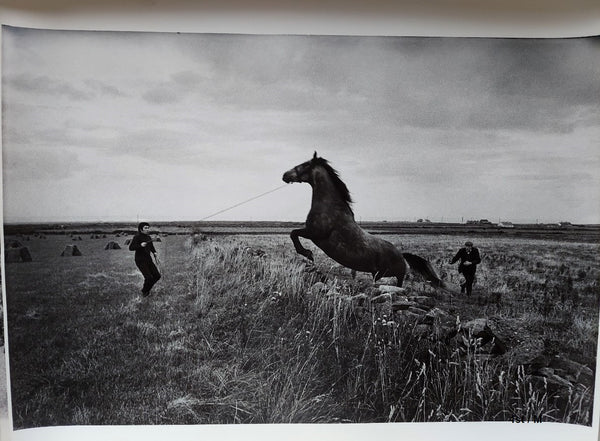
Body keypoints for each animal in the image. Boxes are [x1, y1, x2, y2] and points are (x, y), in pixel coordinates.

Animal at [282, 151, 454, 292]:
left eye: (304, 165)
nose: (285, 175)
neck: (329, 208)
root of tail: (402, 255)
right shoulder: (313, 233)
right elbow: (293, 233)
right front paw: (308, 254)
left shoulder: (315, 233)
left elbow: (293, 233)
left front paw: (308, 254)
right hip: (380, 273)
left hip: (394, 274)